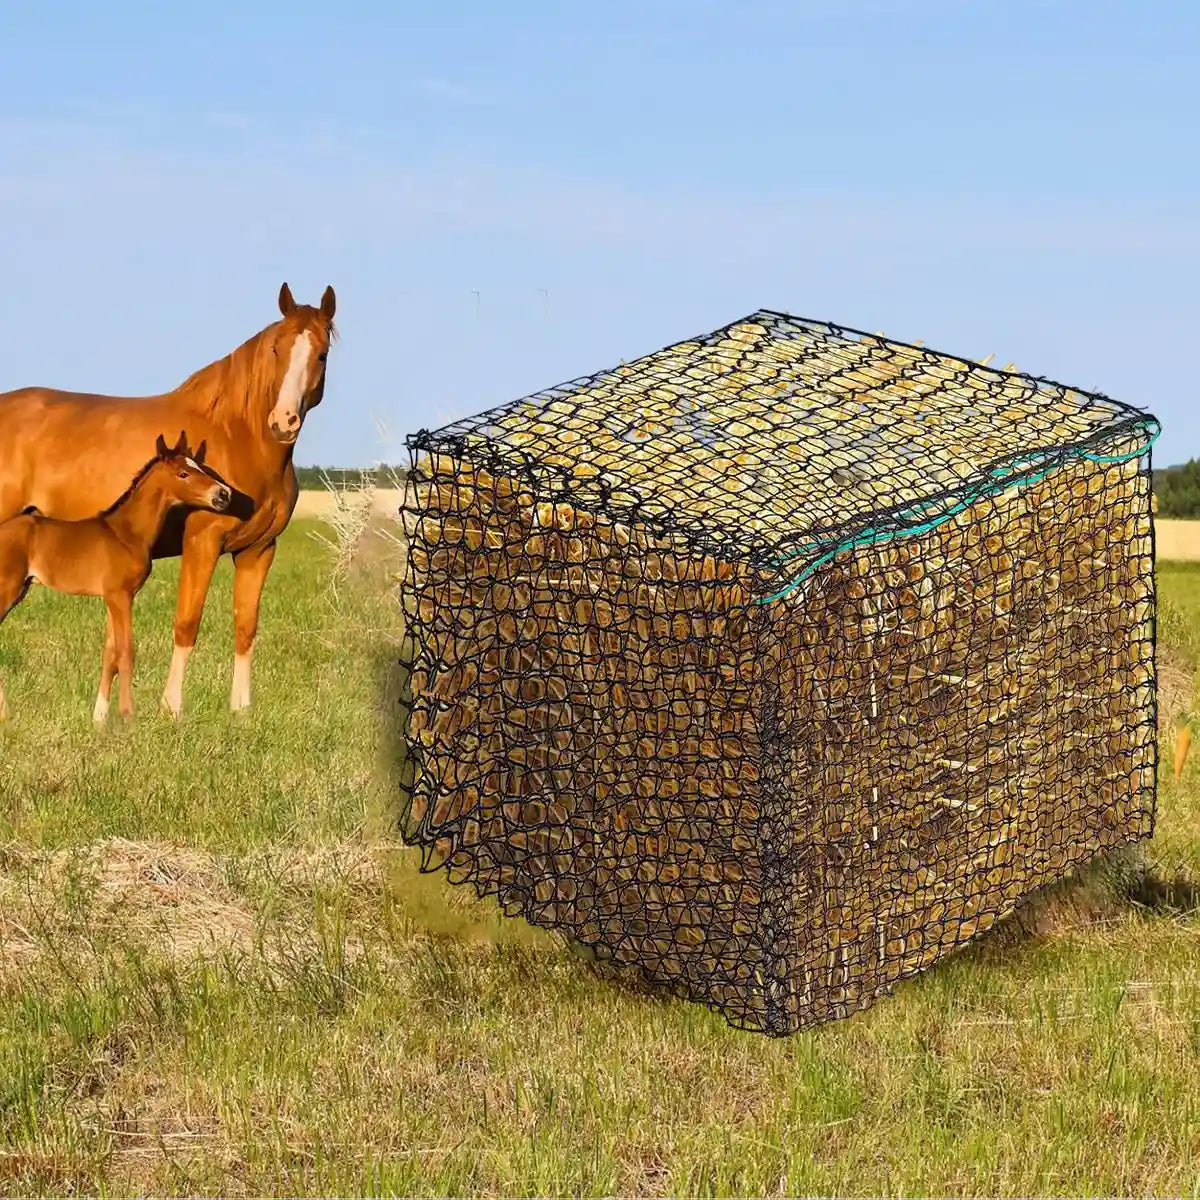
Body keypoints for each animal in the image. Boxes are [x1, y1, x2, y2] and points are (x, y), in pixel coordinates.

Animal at [0, 432, 233, 723]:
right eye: (183, 473)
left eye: (200, 467)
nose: (224, 494)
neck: (126, 533)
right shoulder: (121, 596)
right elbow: (126, 653)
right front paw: (128, 715)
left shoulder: (113, 598)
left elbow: (110, 653)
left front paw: (100, 718)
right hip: (7, 588)